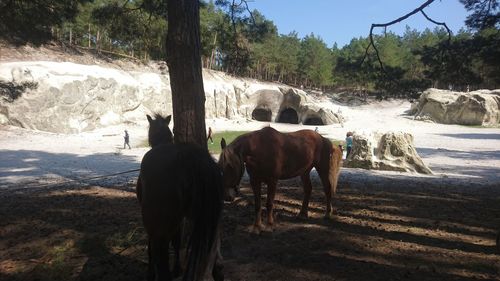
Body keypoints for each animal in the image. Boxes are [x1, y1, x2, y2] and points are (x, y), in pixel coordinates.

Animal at [136, 114, 224, 280]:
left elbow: (152, 248)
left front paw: (151, 272)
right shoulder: (180, 220)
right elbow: (177, 242)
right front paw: (177, 268)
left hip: (159, 228)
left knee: (161, 259)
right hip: (207, 221)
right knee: (217, 262)